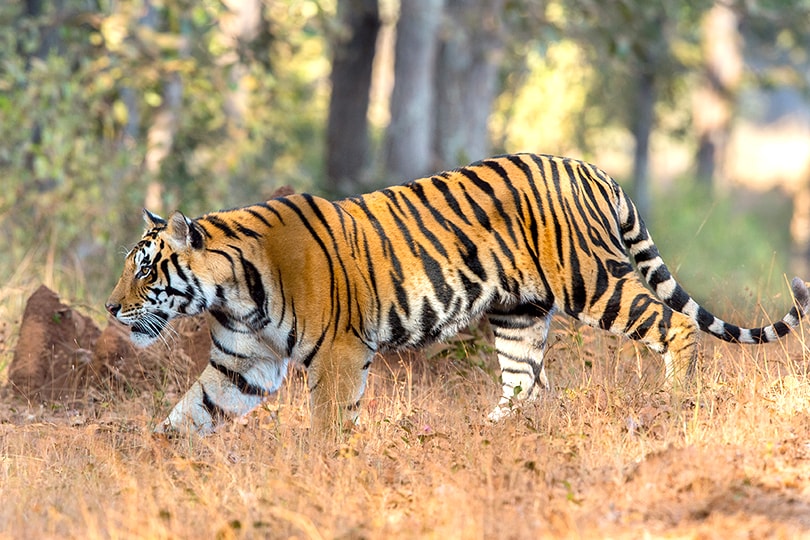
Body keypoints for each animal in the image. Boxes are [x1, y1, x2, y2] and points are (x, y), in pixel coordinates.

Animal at [106, 153, 810, 434]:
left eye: (144, 270)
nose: (111, 308)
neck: (231, 291)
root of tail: (593, 168)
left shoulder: (338, 353)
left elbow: (328, 423)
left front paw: (321, 466)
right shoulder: (242, 362)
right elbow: (189, 413)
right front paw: (153, 462)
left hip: (593, 282)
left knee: (672, 326)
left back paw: (673, 404)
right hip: (519, 314)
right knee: (527, 385)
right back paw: (490, 435)